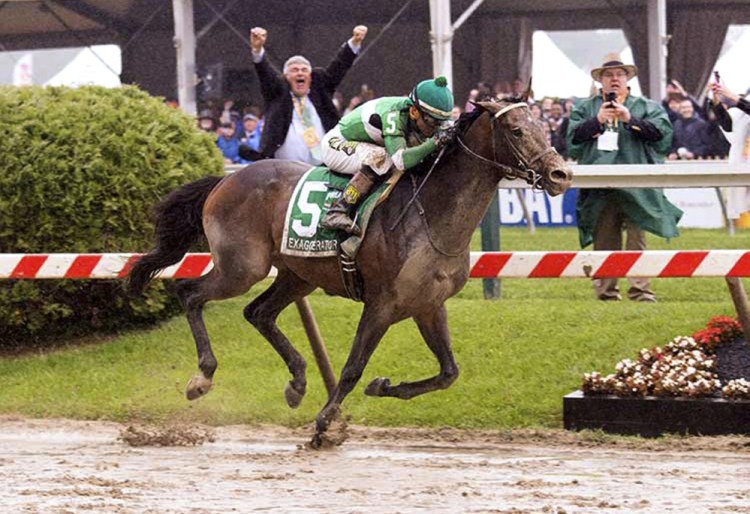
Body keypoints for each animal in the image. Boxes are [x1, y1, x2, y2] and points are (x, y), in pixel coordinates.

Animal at [131, 95, 576, 444]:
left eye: (542, 126)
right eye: (516, 131)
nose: (561, 174)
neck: (431, 217)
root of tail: (227, 180)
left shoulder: (429, 305)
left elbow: (448, 372)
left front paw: (383, 386)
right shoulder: (381, 304)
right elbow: (351, 369)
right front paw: (325, 425)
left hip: (297, 275)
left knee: (258, 312)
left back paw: (297, 382)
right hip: (243, 267)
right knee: (191, 294)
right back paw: (202, 377)